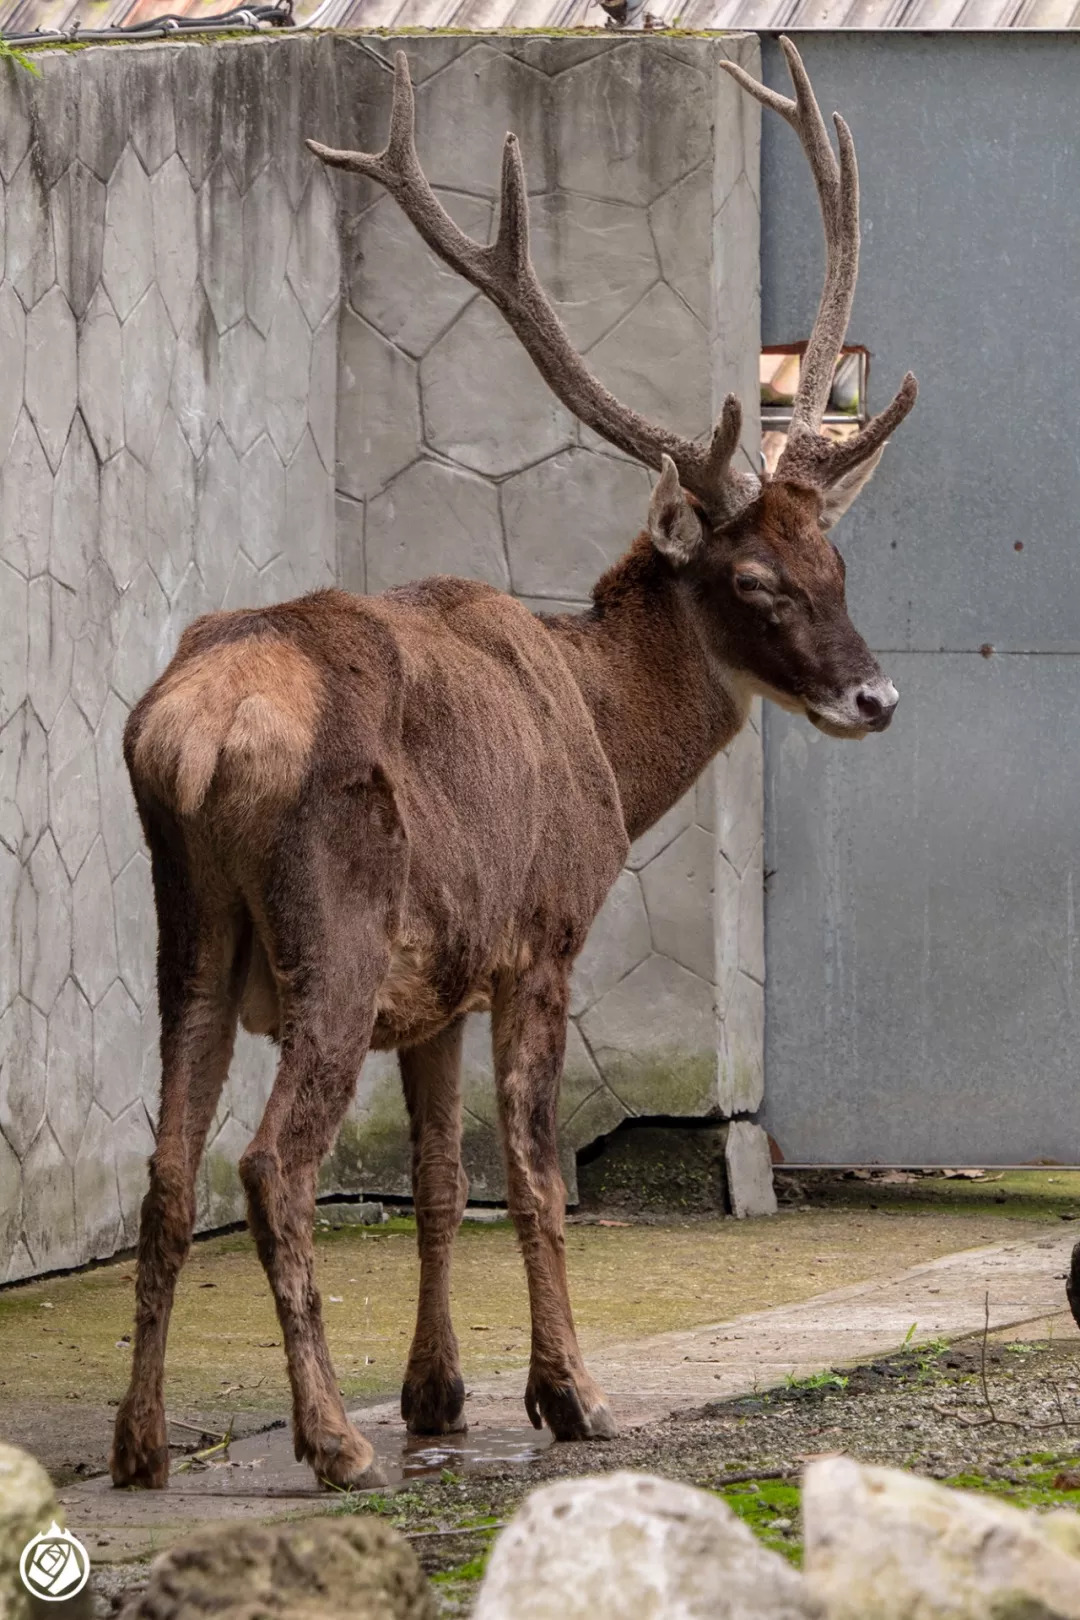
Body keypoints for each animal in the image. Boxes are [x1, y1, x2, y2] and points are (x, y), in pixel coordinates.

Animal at [110, 41, 919, 1490]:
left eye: (837, 562)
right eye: (757, 581)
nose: (876, 697)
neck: (606, 737)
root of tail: (189, 732)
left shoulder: (439, 981)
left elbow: (444, 1178)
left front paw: (438, 1394)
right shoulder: (541, 931)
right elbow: (535, 1176)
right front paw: (569, 1395)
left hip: (188, 936)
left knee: (166, 1167)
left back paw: (141, 1446)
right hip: (334, 924)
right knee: (268, 1164)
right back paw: (330, 1442)